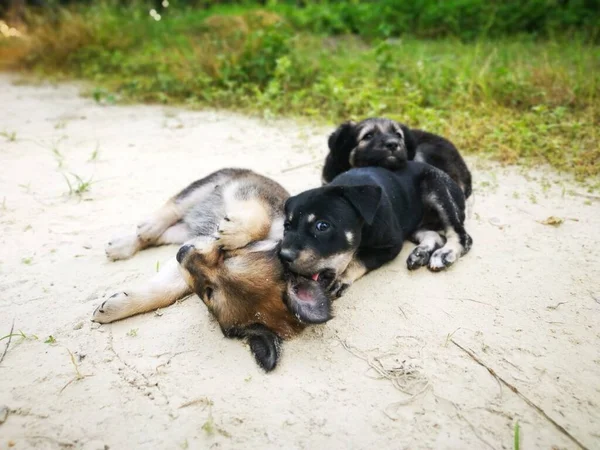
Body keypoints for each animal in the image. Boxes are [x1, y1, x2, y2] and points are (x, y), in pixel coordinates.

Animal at [91, 169, 330, 372]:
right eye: (228, 256)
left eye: (208, 293)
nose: (182, 252)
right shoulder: (256, 200)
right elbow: (258, 221)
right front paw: (233, 231)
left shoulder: (189, 262)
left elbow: (164, 291)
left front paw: (116, 307)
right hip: (206, 186)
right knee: (173, 208)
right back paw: (144, 230)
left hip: (182, 233)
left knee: (165, 232)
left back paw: (125, 244)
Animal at [278, 163, 472, 322]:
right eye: (287, 226)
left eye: (322, 226)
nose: (282, 256)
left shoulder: (391, 246)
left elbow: (359, 258)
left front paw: (342, 278)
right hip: (413, 221)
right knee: (435, 235)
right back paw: (420, 253)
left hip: (437, 188)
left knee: (461, 236)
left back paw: (445, 253)